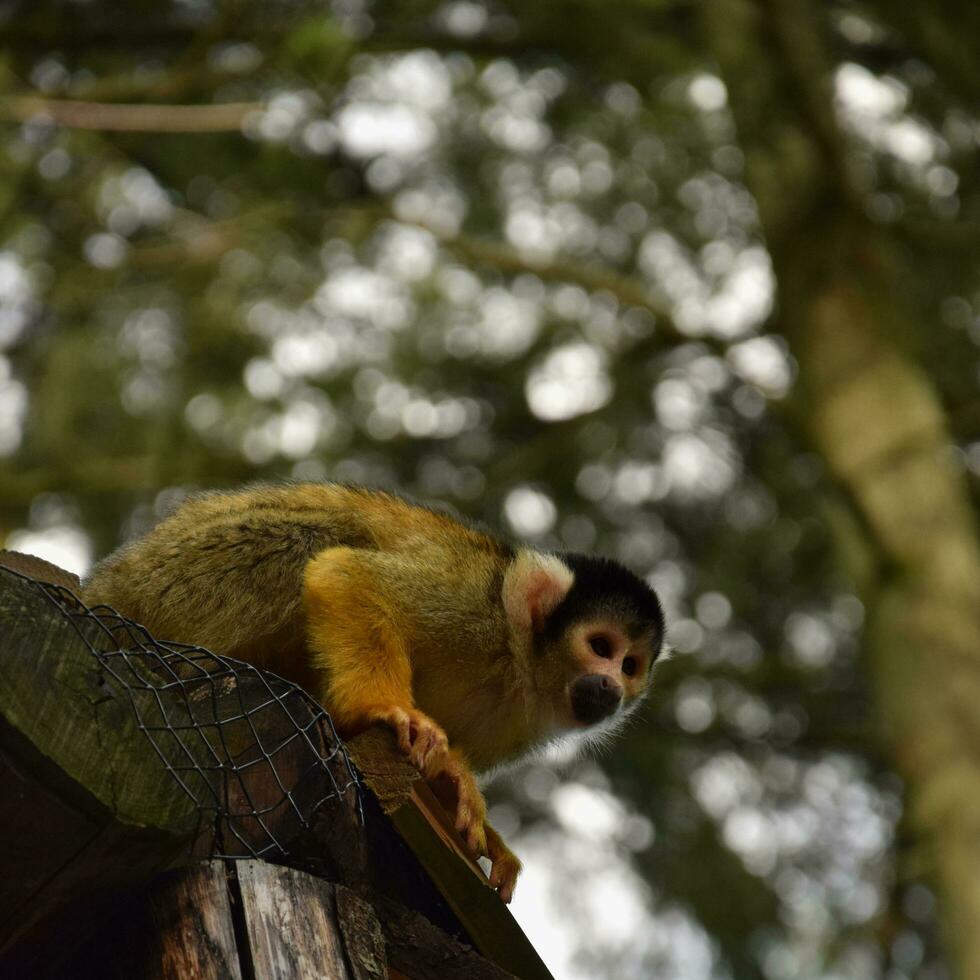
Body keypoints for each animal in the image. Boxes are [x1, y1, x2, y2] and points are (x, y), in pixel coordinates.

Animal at [84, 484, 668, 904]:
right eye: (600, 646)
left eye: (630, 664)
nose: (613, 685)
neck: (516, 658)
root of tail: (106, 586)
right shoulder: (469, 604)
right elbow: (349, 575)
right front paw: (379, 710)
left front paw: (464, 799)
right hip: (178, 584)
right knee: (315, 541)